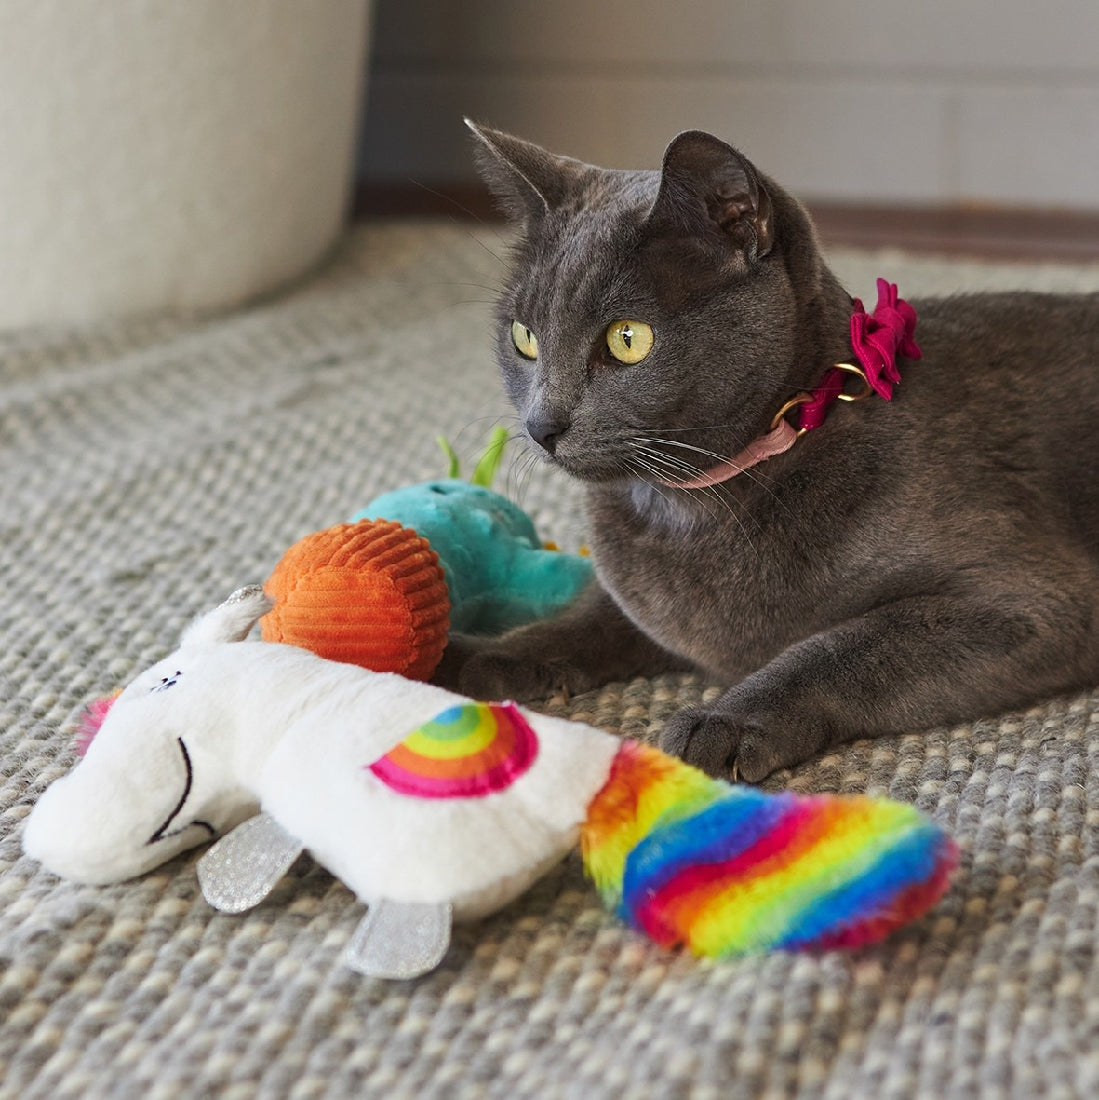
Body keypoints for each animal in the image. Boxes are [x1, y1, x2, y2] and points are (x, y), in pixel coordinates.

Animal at [433, 122, 1099, 783]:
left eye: (628, 339)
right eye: (524, 337)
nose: (541, 424)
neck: (691, 507)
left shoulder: (1028, 602)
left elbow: (843, 646)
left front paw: (726, 721)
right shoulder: (641, 602)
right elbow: (591, 614)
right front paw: (484, 655)